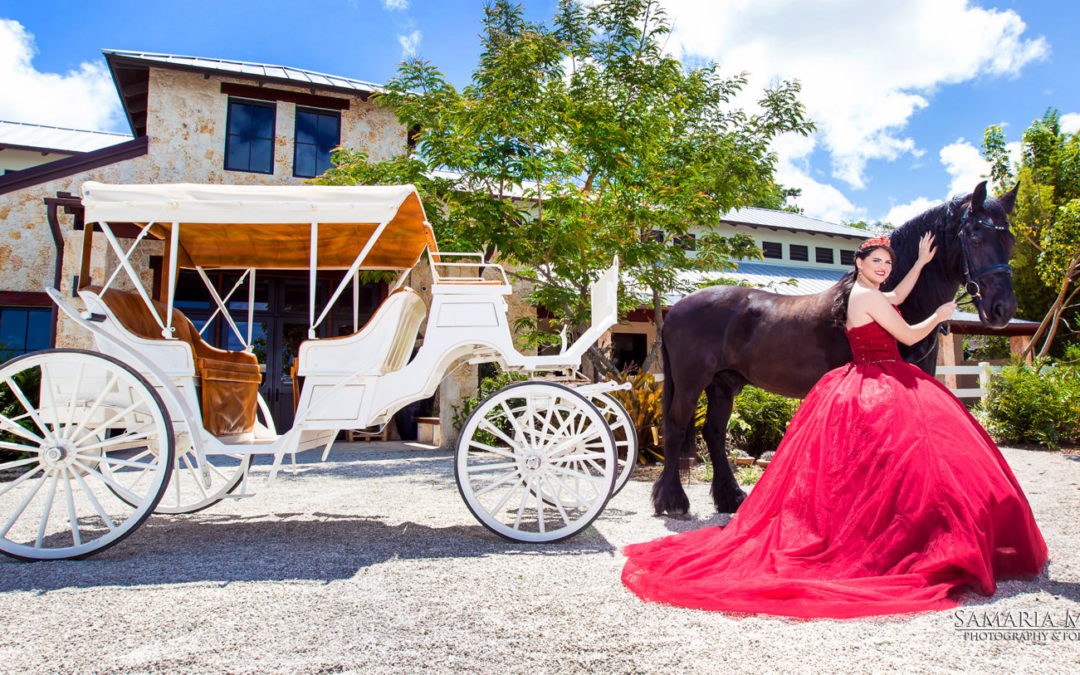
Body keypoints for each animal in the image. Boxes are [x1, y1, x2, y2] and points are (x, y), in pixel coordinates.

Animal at [652, 181, 1015, 514]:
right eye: (974, 235)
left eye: (1009, 240)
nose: (1002, 309)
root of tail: (676, 311)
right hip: (690, 383)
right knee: (675, 427)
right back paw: (672, 500)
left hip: (723, 385)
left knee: (713, 432)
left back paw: (731, 498)